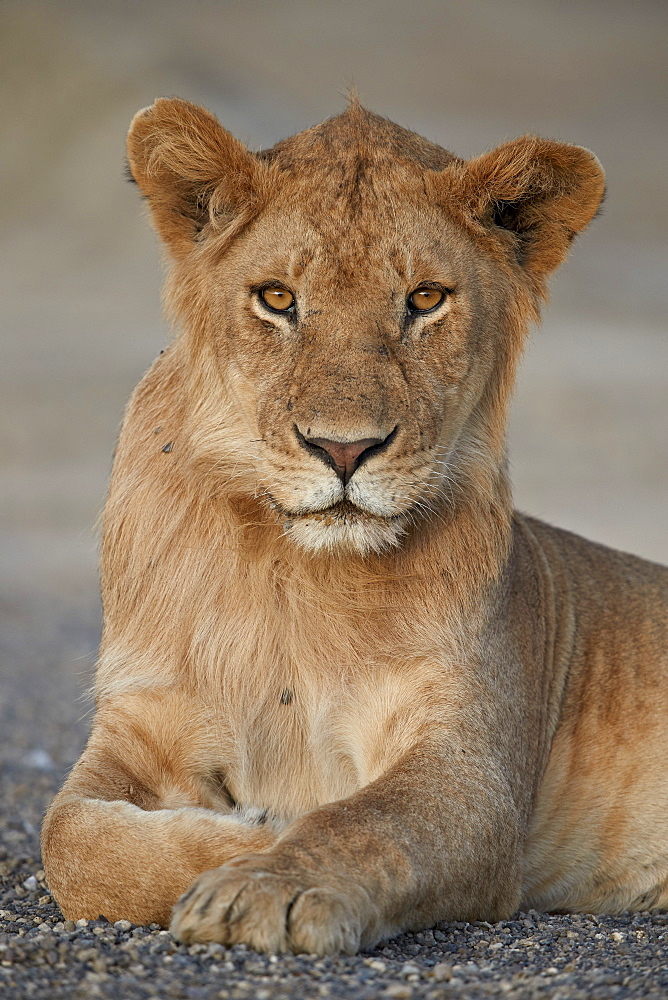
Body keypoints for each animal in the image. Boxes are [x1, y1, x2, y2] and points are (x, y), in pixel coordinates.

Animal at [39, 97, 664, 956]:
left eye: (426, 300)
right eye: (276, 299)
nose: (344, 448)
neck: (293, 577)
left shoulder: (470, 770)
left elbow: (364, 823)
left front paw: (266, 882)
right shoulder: (142, 718)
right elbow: (69, 839)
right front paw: (250, 834)